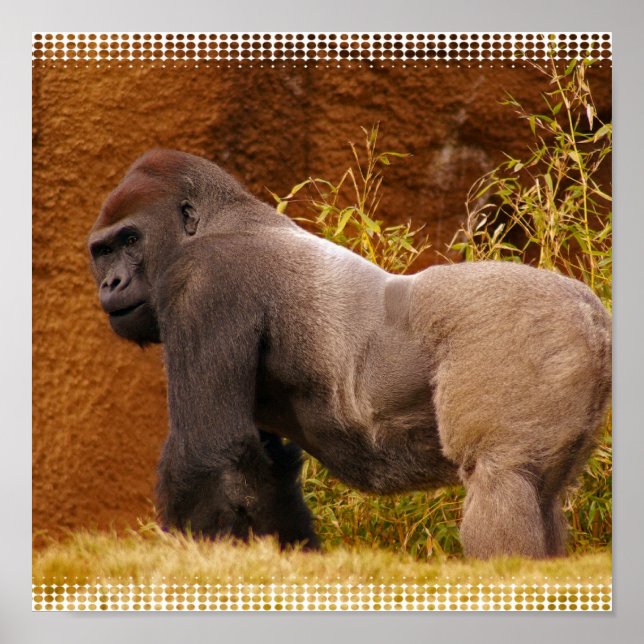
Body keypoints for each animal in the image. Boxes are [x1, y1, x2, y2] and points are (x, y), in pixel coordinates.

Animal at [88, 149, 611, 558]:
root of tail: (590, 311)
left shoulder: (203, 283)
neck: (216, 222)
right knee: (541, 493)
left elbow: (208, 453)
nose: (111, 283)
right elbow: (263, 473)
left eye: (131, 240)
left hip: (524, 328)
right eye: (102, 251)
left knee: (502, 478)